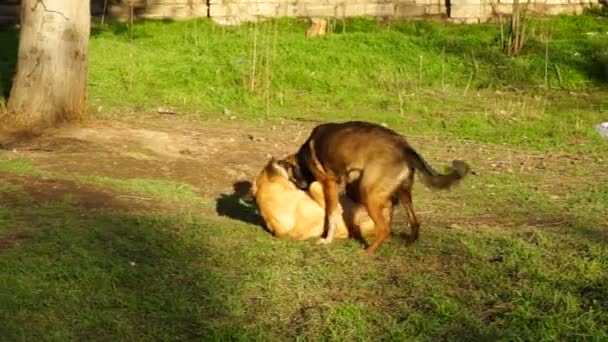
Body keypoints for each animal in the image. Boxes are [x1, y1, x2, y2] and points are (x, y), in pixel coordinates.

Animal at [282, 120, 470, 254]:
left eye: (293, 176)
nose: (300, 186)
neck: (304, 155)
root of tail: (404, 147)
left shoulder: (329, 184)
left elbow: (331, 214)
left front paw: (326, 240)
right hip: (403, 193)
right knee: (414, 222)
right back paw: (407, 244)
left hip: (369, 194)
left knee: (384, 228)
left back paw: (368, 251)